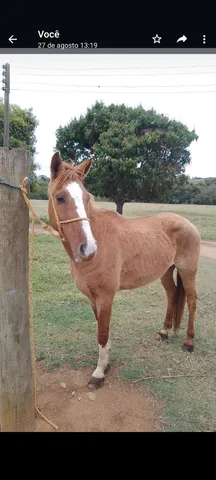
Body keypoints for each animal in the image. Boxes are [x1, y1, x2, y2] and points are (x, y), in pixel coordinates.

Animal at [47, 154, 201, 390]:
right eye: (60, 197)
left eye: (87, 198)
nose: (88, 249)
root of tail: (187, 223)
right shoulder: (93, 298)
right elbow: (102, 331)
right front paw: (106, 364)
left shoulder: (106, 296)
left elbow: (102, 333)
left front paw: (99, 373)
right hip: (166, 272)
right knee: (173, 295)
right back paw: (164, 332)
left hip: (188, 270)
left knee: (191, 301)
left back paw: (189, 342)